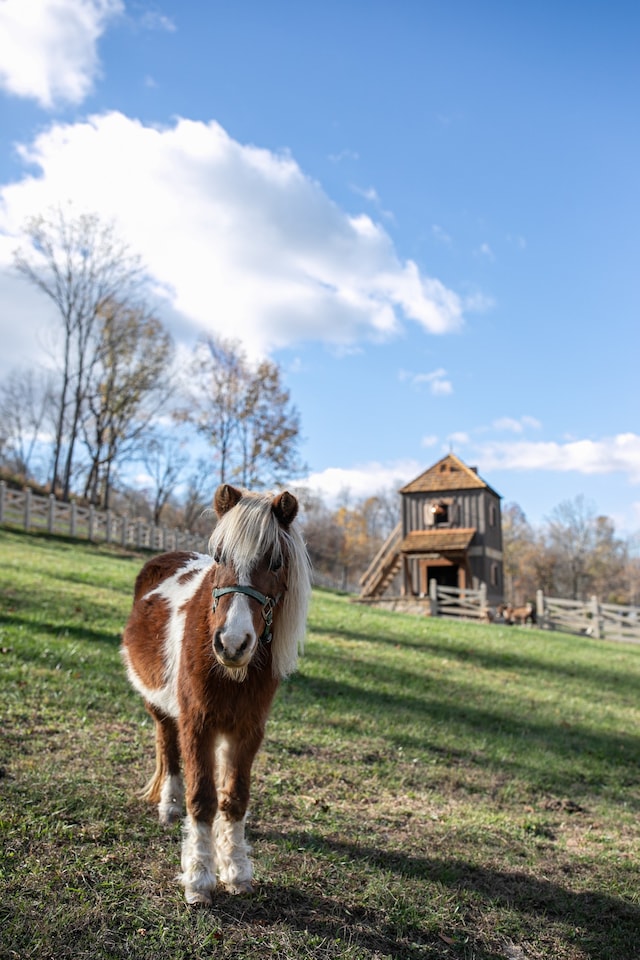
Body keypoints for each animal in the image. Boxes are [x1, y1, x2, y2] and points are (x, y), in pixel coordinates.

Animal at [121, 484, 312, 904]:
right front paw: (199, 878)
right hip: (159, 705)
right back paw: (169, 807)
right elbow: (203, 799)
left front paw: (236, 869)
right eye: (221, 556)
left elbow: (234, 798)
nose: (232, 643)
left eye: (276, 561)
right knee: (168, 748)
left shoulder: (247, 730)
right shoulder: (198, 724)